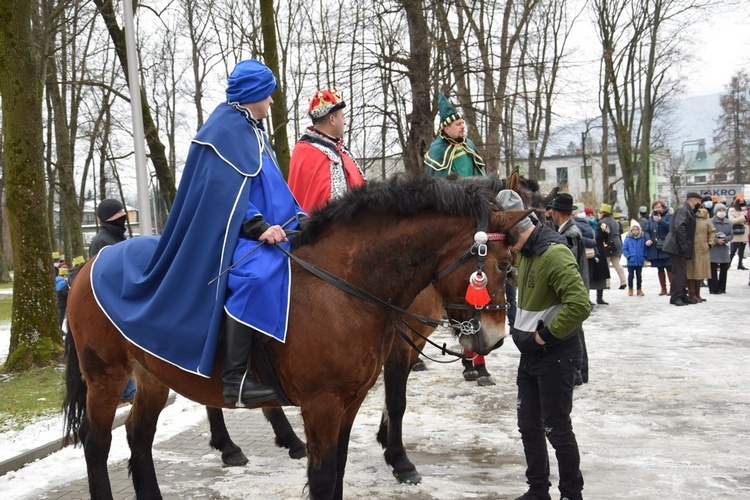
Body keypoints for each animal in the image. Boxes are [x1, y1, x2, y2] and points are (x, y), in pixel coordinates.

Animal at [63, 174, 524, 498]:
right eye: (504, 264)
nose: (495, 338)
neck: (345, 287)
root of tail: (90, 263)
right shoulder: (322, 404)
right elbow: (323, 475)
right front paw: (399, 461)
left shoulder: (350, 400)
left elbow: (339, 467)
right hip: (105, 375)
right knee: (97, 442)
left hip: (153, 374)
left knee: (138, 437)